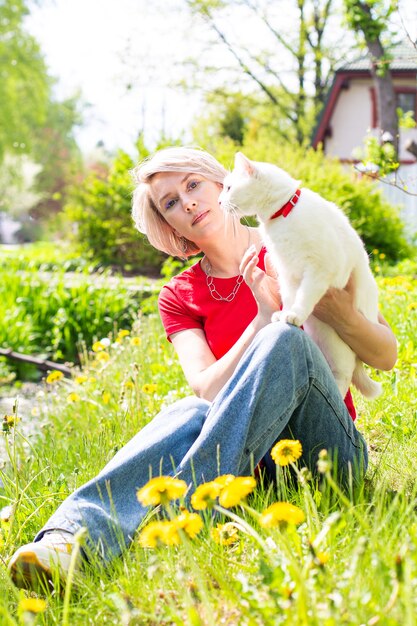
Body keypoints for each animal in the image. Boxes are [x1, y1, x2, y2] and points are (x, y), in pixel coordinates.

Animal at [219, 152, 382, 398]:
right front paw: (285, 314)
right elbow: (289, 297)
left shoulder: (319, 268)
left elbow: (304, 295)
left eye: (228, 188)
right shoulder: (287, 273)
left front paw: (294, 314)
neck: (283, 216)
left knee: (343, 377)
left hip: (341, 345)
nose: (219, 202)